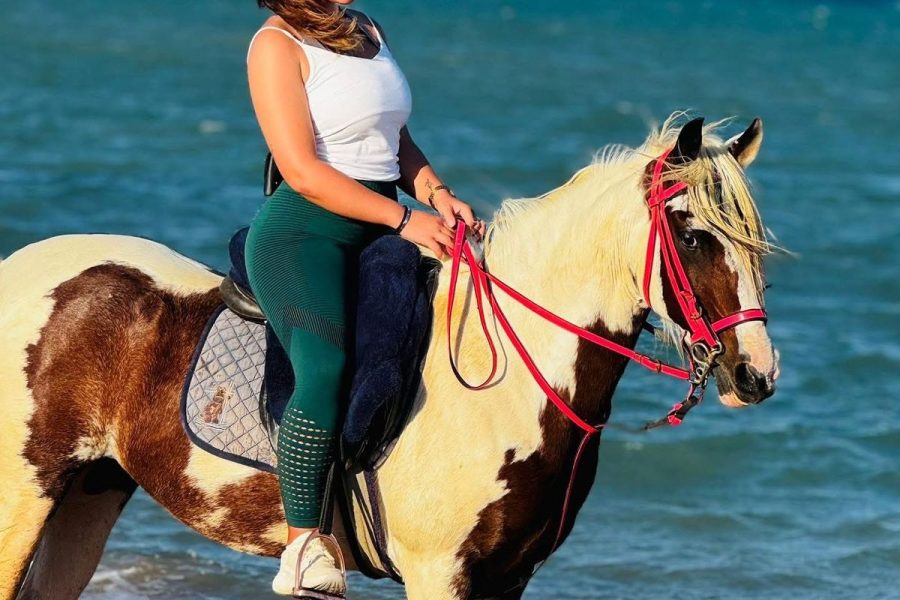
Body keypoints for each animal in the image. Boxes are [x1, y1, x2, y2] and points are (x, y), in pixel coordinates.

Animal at [0, 114, 779, 600]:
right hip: (25, 493)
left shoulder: (508, 579)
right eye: (694, 236)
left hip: (90, 490)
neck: (502, 387)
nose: (757, 375)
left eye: (755, 240)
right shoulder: (439, 574)